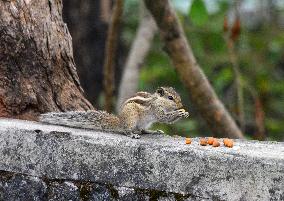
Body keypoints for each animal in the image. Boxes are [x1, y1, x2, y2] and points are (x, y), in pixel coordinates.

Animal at [38, 86, 189, 138]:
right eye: (170, 98)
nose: (181, 105)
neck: (157, 100)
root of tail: (120, 121)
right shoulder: (156, 109)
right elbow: (164, 117)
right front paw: (180, 113)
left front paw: (184, 112)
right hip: (132, 117)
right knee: (128, 130)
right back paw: (132, 134)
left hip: (144, 123)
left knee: (142, 130)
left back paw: (152, 131)